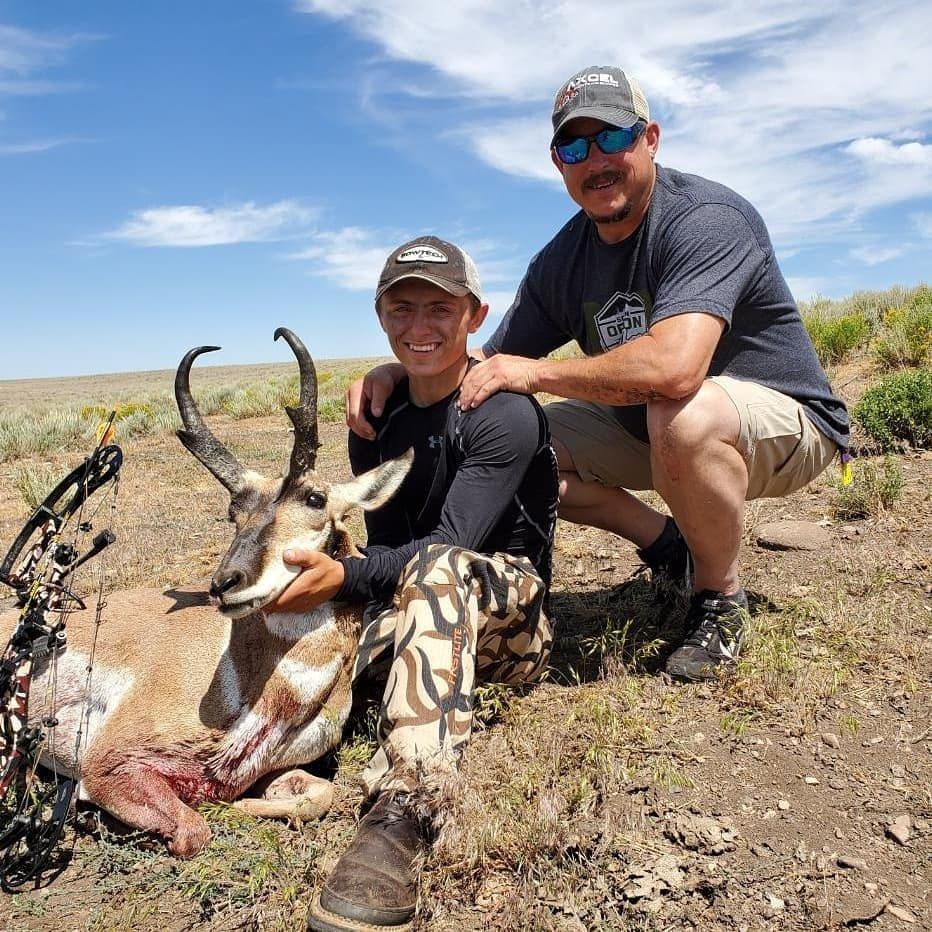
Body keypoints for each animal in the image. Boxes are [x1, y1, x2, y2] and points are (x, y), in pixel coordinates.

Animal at [0, 329, 412, 857]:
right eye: (233, 511)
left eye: (315, 498)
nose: (225, 584)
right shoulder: (108, 763)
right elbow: (194, 831)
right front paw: (90, 816)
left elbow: (321, 794)